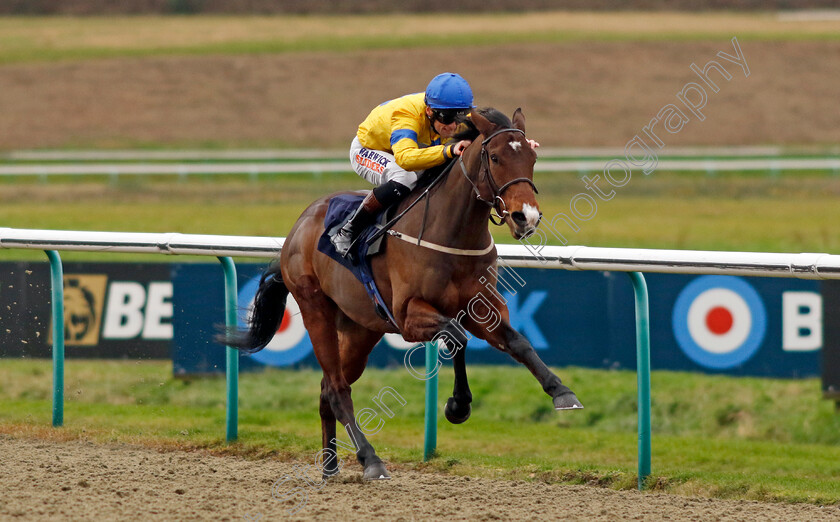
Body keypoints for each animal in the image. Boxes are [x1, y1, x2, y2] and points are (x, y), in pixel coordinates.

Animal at [223, 108, 584, 480]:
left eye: (532, 157)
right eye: (495, 157)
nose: (526, 217)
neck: (452, 234)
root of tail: (298, 227)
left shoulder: (481, 307)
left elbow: (516, 342)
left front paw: (561, 391)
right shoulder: (408, 316)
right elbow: (456, 335)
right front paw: (458, 405)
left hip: (361, 329)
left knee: (328, 388)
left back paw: (330, 464)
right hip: (315, 309)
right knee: (337, 389)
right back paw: (371, 459)